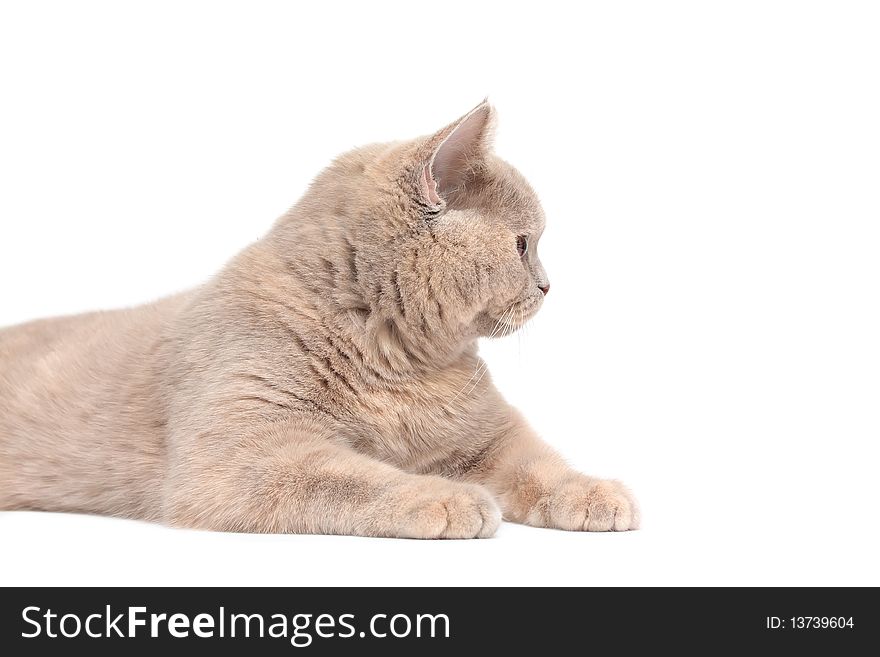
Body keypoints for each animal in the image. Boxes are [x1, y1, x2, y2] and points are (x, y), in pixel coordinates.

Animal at [0, 100, 640, 536]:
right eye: (523, 244)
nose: (548, 285)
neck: (393, 356)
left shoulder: (489, 435)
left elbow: (541, 462)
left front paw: (595, 493)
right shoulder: (243, 450)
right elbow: (351, 477)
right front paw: (444, 498)